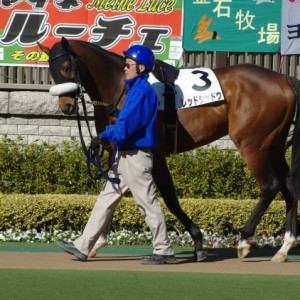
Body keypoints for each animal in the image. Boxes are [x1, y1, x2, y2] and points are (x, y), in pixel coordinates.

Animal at [38, 37, 300, 262]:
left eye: (67, 67)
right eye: (51, 69)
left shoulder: (155, 153)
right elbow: (111, 193)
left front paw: (196, 241)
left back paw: (244, 240)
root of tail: (284, 79)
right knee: (289, 185)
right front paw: (94, 242)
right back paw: (285, 246)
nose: (66, 106)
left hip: (252, 144)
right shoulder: (118, 150)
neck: (121, 85)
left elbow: (169, 198)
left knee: (271, 185)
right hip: (273, 144)